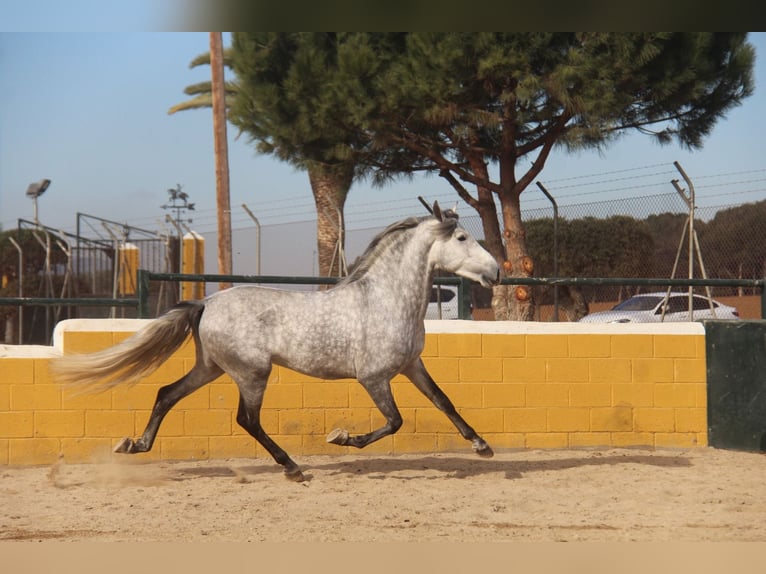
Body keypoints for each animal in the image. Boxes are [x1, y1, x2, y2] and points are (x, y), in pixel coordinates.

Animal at [51, 202, 500, 482]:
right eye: (461, 238)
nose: (495, 271)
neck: (384, 299)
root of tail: (206, 302)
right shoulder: (373, 378)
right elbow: (395, 422)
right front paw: (342, 438)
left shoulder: (411, 366)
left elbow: (443, 401)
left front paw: (482, 446)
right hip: (252, 373)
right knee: (246, 420)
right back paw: (292, 468)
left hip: (211, 367)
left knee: (166, 393)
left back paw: (134, 445)